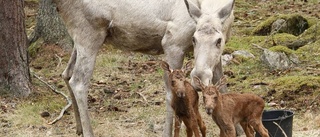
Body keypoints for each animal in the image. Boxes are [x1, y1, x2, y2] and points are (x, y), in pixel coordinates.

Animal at [53, 0, 235, 136]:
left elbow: (223, 87)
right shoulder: (172, 43)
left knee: (66, 73)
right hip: (89, 34)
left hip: (80, 40)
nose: (199, 77)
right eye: (194, 39)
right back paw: (88, 132)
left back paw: (78, 128)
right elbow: (171, 95)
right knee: (78, 82)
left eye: (219, 40)